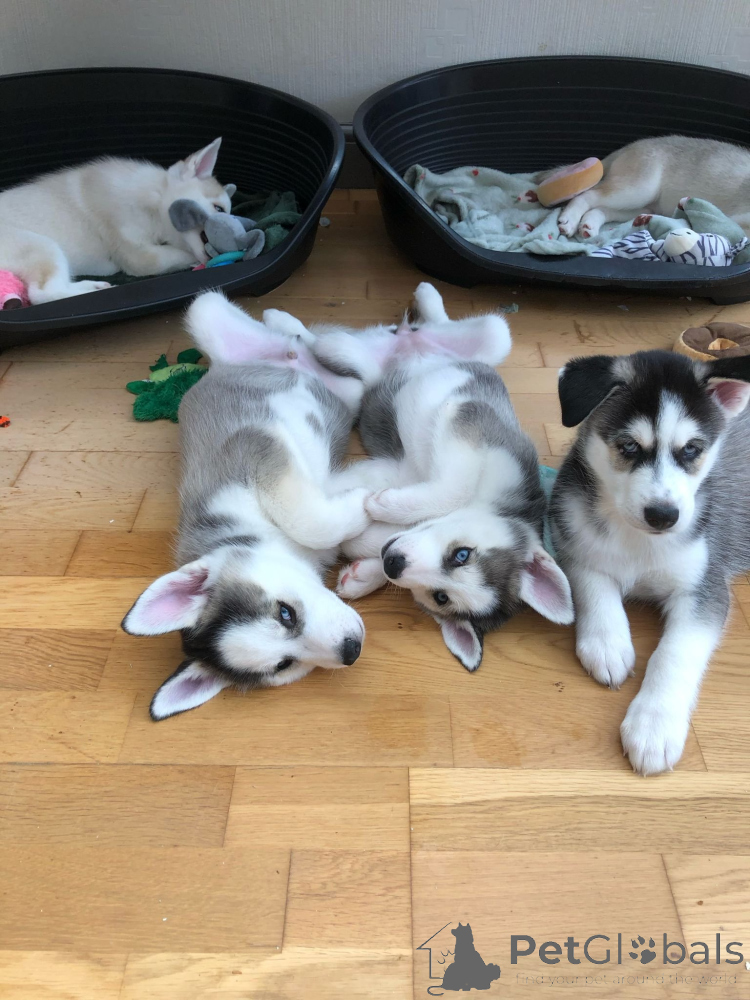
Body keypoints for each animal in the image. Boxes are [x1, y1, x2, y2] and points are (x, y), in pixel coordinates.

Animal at [0, 137, 231, 305]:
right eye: (219, 208)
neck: (155, 197)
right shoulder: (137, 255)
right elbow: (176, 255)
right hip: (42, 246)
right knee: (42, 295)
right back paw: (89, 289)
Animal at [122, 292, 369, 720]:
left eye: (284, 612)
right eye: (285, 664)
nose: (351, 650)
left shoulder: (256, 443)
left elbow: (306, 518)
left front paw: (367, 497)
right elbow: (322, 519)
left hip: (202, 311)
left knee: (311, 344)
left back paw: (291, 326)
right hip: (343, 394)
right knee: (352, 378)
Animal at [310, 282, 574, 672]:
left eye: (441, 597)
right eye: (462, 554)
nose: (394, 563)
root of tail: (411, 340)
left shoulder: (395, 468)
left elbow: (364, 532)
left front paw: (364, 572)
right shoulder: (466, 414)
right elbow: (456, 487)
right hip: (488, 342)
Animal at [550, 349, 750, 774]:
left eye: (691, 449)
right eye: (628, 446)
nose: (663, 515)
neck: (640, 542)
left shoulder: (704, 589)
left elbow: (673, 654)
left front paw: (654, 726)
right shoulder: (574, 542)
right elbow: (595, 589)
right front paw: (607, 643)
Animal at [556, 135, 750, 239]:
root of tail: (626, 148)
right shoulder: (738, 222)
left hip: (644, 207)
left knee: (602, 209)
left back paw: (589, 225)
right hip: (639, 188)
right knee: (587, 195)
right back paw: (569, 220)